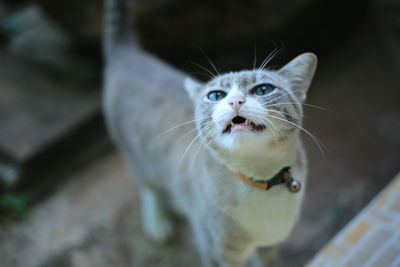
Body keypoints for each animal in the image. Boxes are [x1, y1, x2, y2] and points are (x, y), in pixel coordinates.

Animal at [104, 0, 318, 266]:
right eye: (216, 95)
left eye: (263, 89)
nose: (235, 101)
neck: (259, 177)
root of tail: (127, 53)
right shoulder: (215, 251)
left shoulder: (268, 246)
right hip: (132, 151)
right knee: (147, 185)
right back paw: (157, 221)